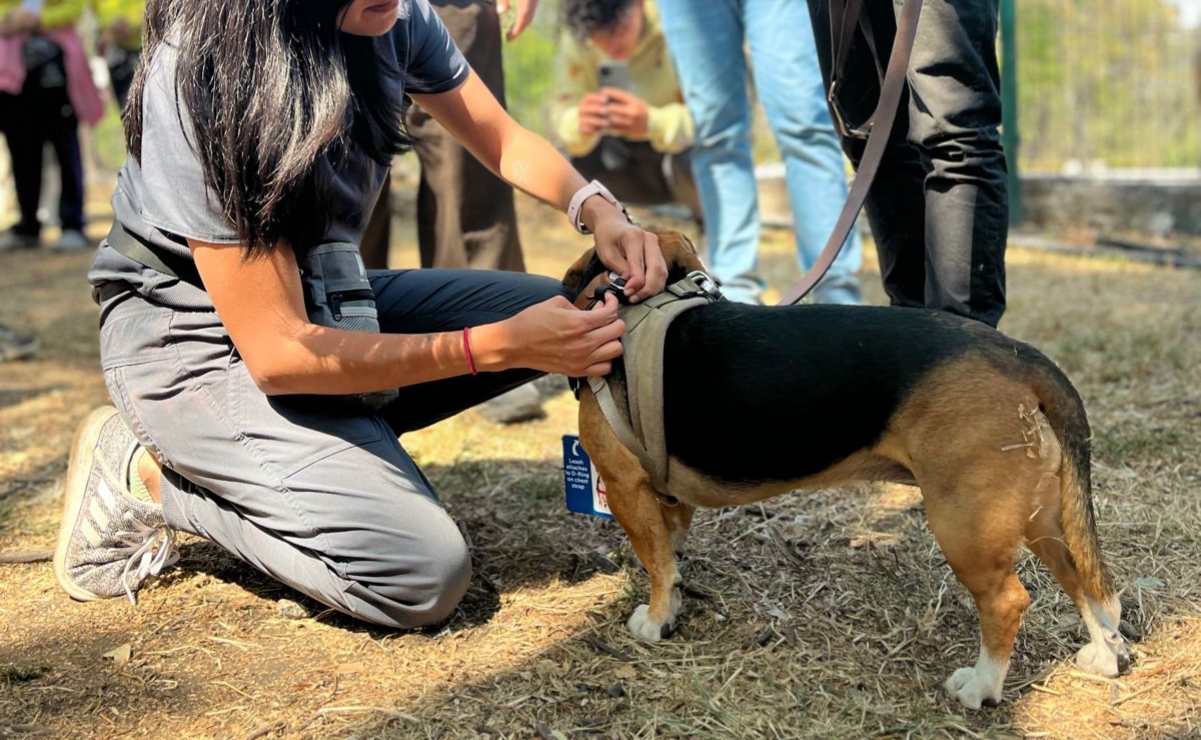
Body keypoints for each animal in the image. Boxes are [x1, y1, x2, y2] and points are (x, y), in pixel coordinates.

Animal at [562, 234, 1124, 706]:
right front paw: (675, 604)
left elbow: (656, 563)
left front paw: (656, 621)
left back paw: (981, 686)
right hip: (1040, 518)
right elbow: (670, 557)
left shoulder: (626, 488)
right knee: (1083, 581)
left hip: (965, 524)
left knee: (1007, 601)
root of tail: (1019, 356)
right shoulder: (667, 499)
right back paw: (1103, 655)